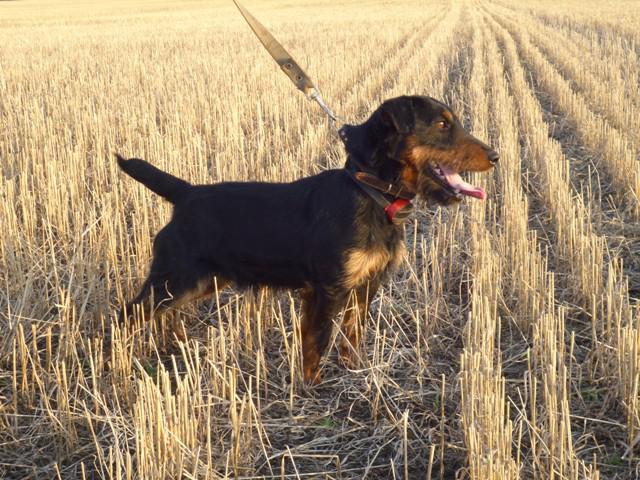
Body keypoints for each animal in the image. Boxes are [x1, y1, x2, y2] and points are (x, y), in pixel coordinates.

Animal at [116, 95, 498, 383]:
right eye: (442, 125)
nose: (495, 156)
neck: (370, 192)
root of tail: (186, 194)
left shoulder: (366, 285)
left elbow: (352, 332)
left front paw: (353, 370)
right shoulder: (327, 288)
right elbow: (318, 339)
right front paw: (312, 387)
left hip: (200, 280)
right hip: (176, 277)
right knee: (126, 315)